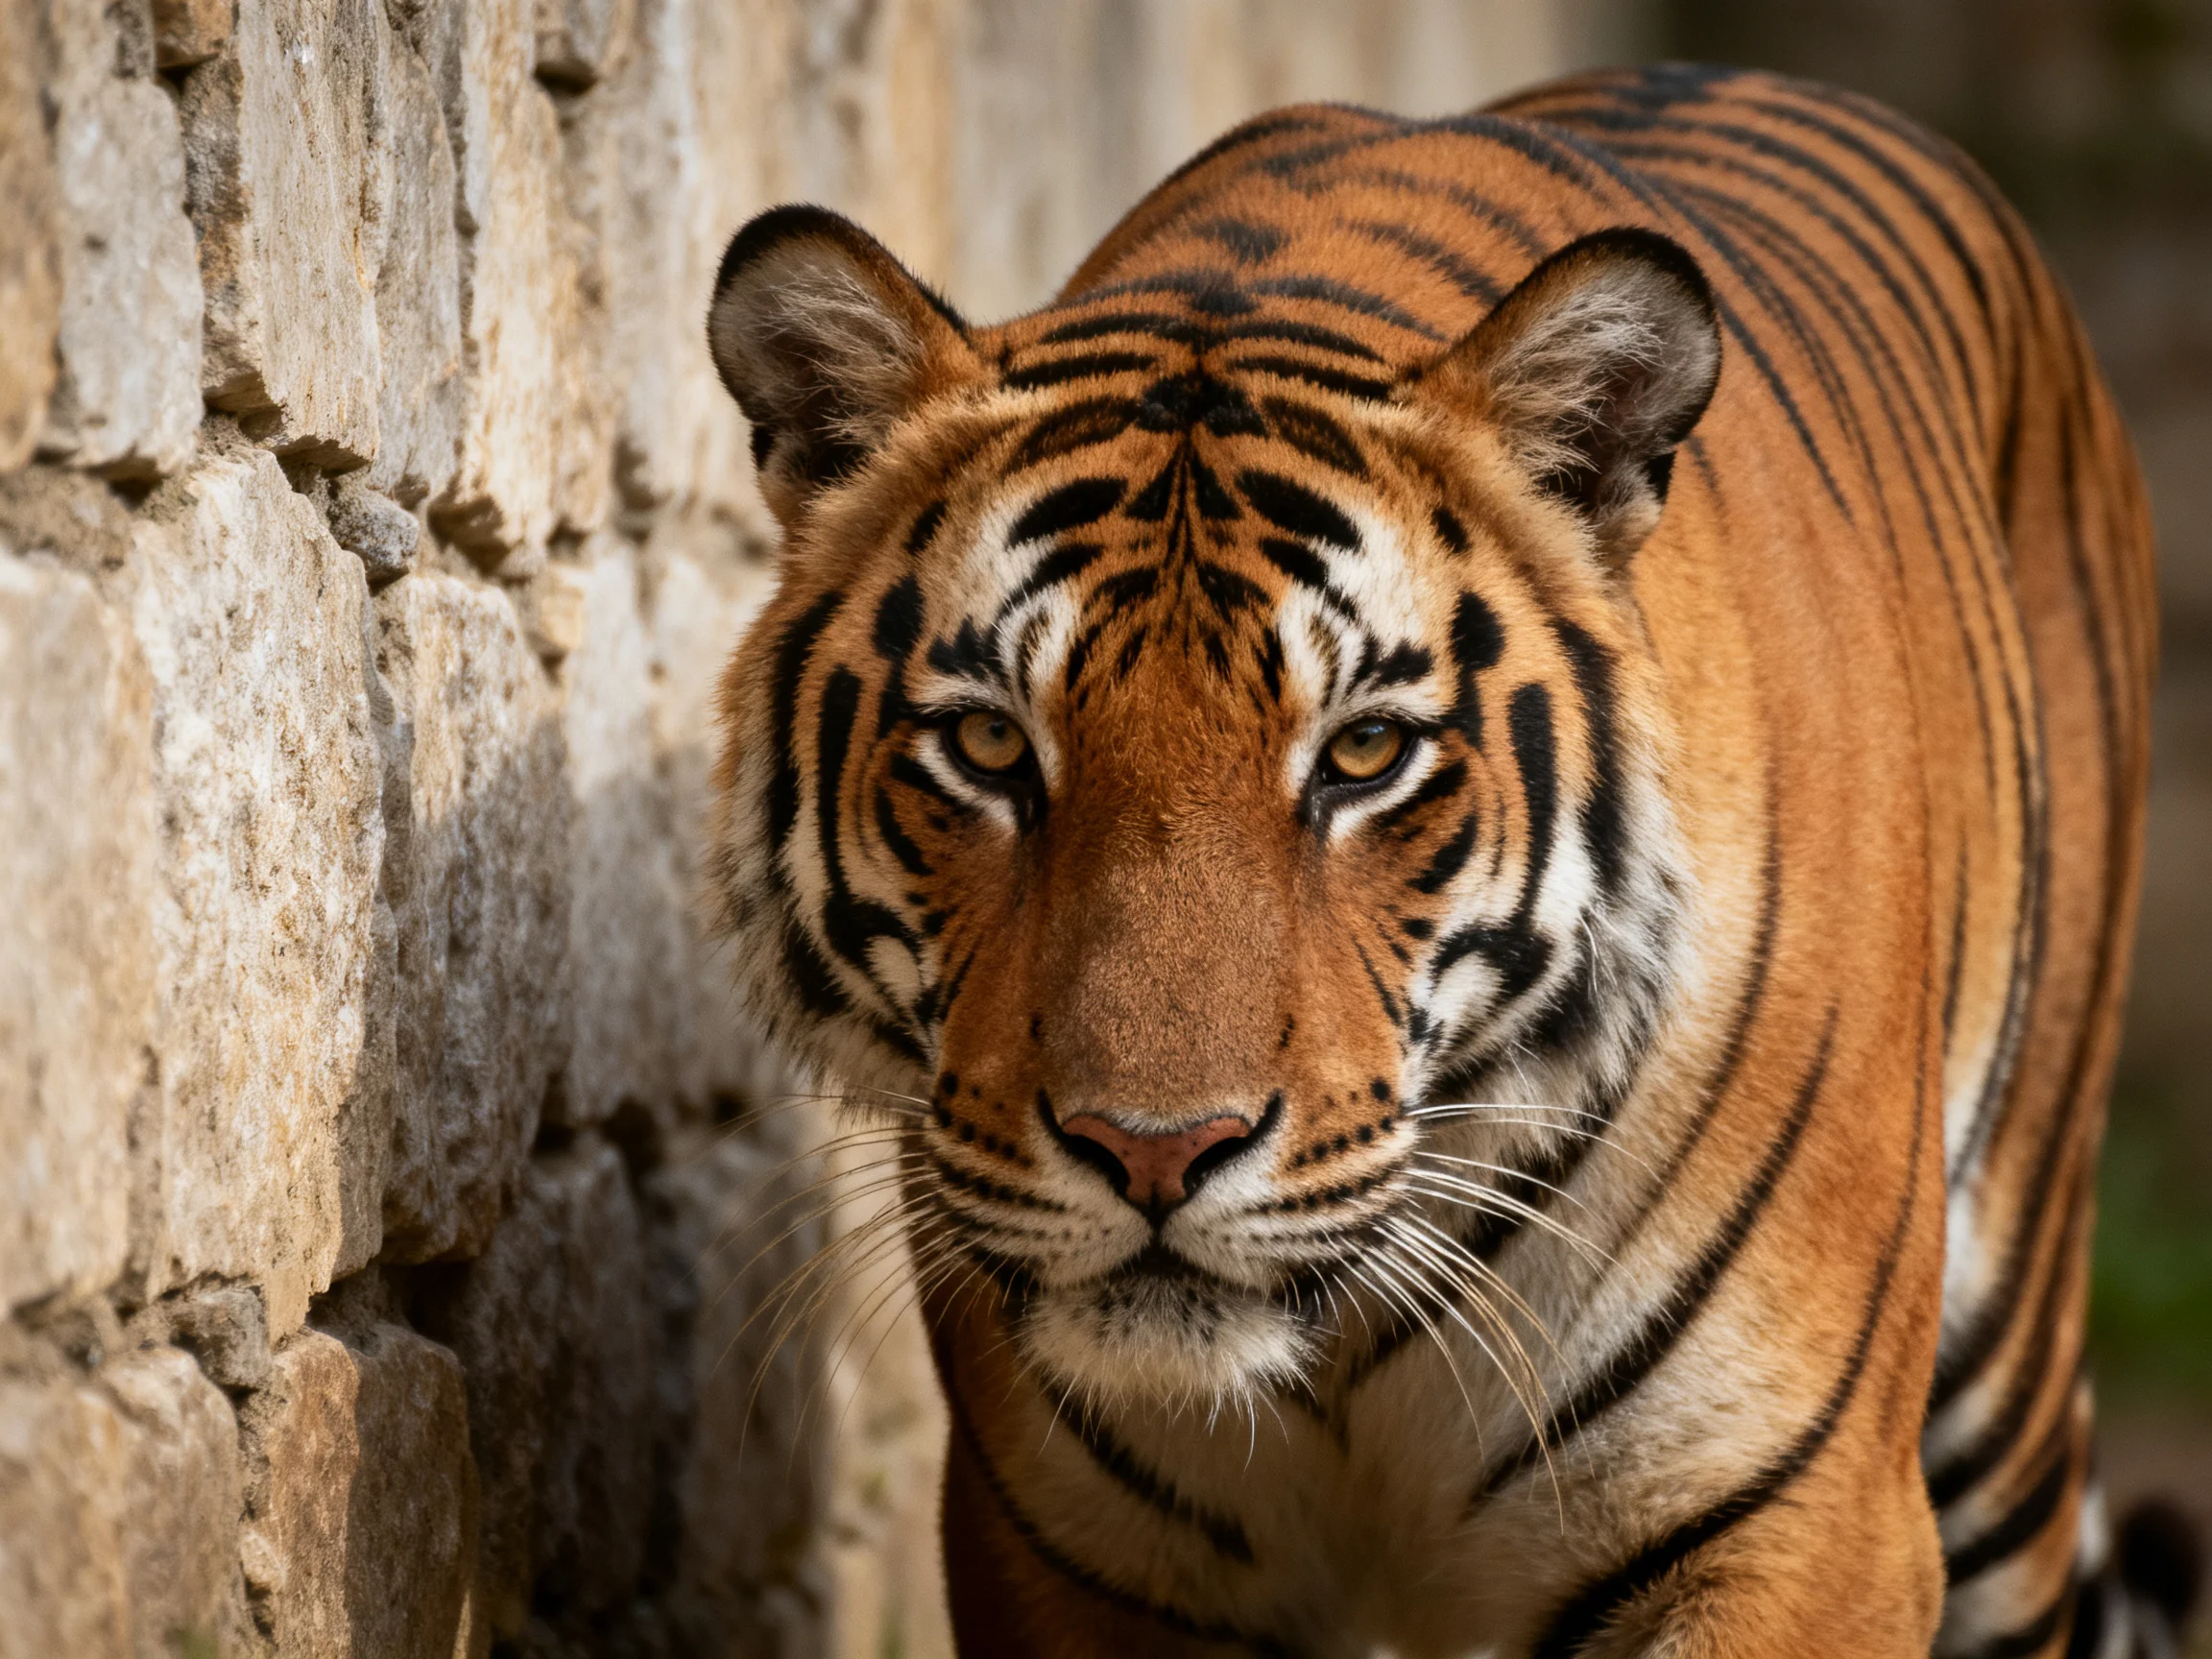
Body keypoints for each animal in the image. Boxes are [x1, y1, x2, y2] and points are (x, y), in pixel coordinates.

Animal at [703, 63, 2193, 1659]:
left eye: (1363, 754)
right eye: (988, 745)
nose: (1153, 1152)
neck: (1337, 1367)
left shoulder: (1797, 1521)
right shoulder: (1060, 1552)